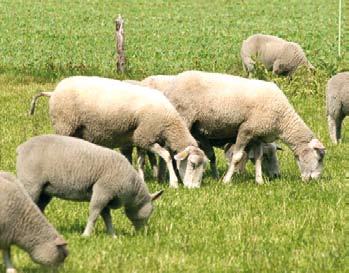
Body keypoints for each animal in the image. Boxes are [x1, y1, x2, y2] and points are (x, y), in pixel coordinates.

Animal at [15, 134, 164, 236]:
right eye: (151, 210)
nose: (144, 233)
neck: (131, 187)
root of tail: (21, 148)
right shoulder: (103, 191)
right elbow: (94, 213)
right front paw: (86, 235)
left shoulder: (105, 196)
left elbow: (106, 216)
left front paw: (113, 236)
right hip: (31, 184)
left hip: (45, 190)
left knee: (39, 207)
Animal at [29, 75, 207, 188]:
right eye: (192, 164)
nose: (194, 189)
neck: (169, 122)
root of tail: (53, 91)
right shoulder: (146, 136)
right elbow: (168, 156)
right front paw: (174, 183)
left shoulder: (140, 138)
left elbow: (141, 162)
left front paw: (141, 180)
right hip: (64, 125)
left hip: (75, 130)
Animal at [139, 71, 324, 184]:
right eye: (319, 158)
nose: (316, 179)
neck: (283, 118)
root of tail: (174, 82)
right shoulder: (246, 130)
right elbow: (237, 157)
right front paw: (227, 180)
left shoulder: (257, 135)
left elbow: (257, 157)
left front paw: (259, 180)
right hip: (182, 119)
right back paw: (168, 177)